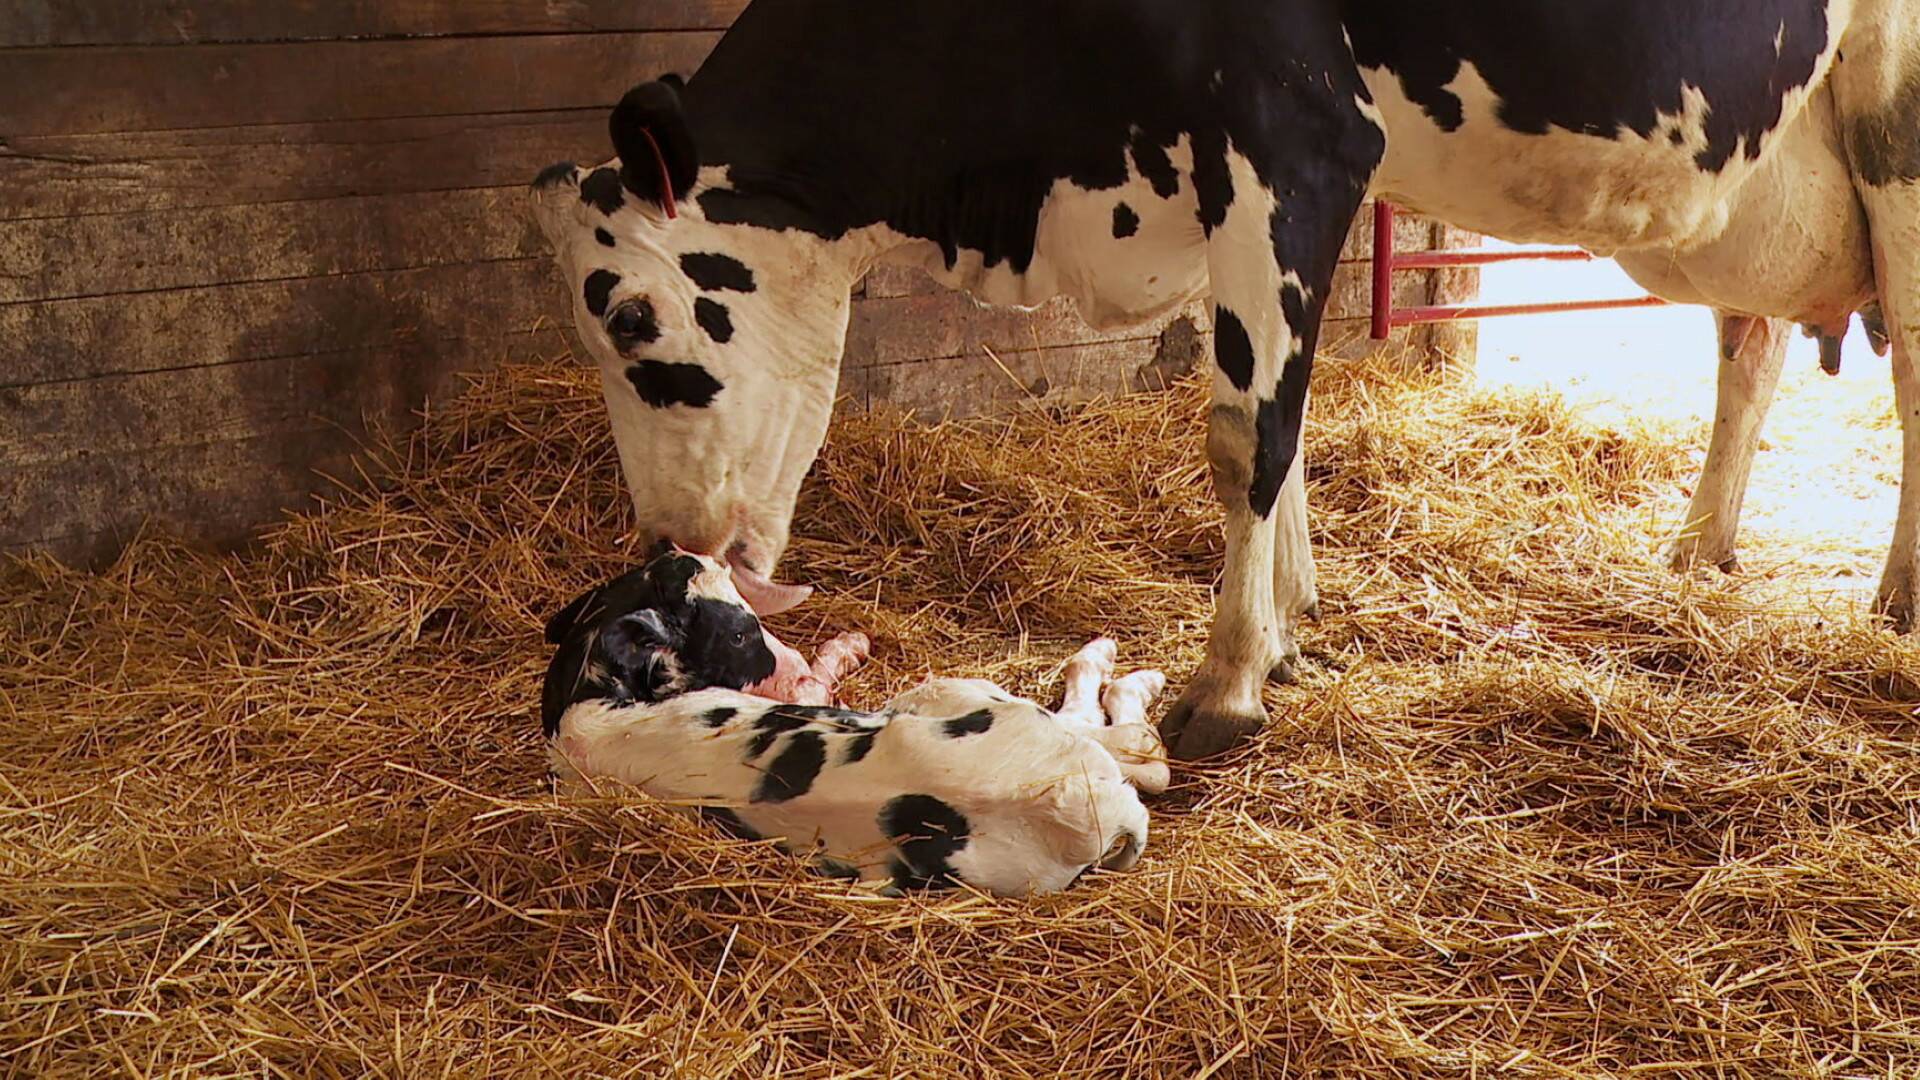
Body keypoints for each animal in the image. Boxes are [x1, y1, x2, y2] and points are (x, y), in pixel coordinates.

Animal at [533, 0, 1920, 757]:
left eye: (637, 319)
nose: (663, 540)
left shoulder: (1293, 142)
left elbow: (1246, 430)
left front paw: (1232, 678)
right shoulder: (1213, 186)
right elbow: (1266, 422)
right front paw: (1293, 626)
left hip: (1893, 128)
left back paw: (1897, 600)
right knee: (1751, 345)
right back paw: (1702, 546)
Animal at [541, 545, 1167, 891]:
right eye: (739, 632)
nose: (785, 664)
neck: (586, 703)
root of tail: (1080, 806)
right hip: (957, 695)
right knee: (1132, 744)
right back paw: (1121, 670)